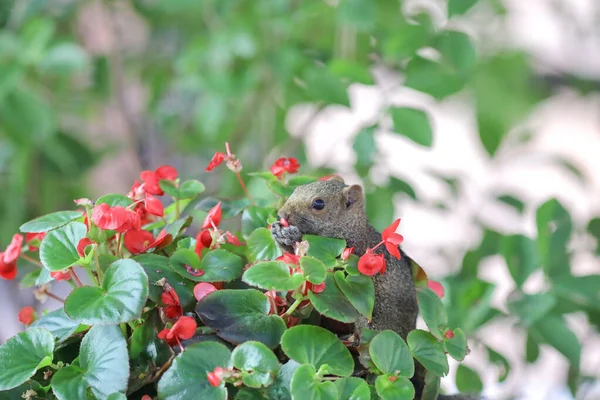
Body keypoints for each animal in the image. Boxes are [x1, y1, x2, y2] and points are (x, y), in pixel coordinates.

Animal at [270, 176, 480, 400]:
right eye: (297, 189)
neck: (349, 228)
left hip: (375, 326)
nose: (282, 214)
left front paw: (291, 236)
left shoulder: (349, 252)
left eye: (319, 204)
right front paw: (278, 232)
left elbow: (318, 262)